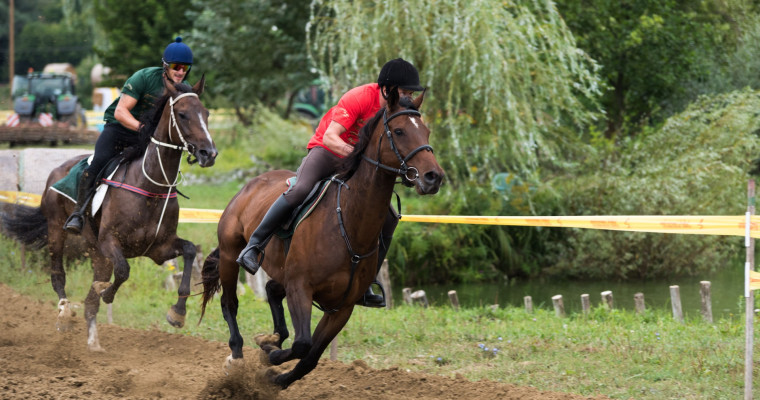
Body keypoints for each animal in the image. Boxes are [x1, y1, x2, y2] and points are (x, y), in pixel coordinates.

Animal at [2, 75, 217, 350]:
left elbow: (189, 251)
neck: (151, 185)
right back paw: (64, 312)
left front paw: (177, 313)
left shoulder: (159, 248)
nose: (209, 153)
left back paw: (94, 343)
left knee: (89, 303)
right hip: (57, 230)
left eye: (206, 113)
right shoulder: (110, 241)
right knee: (58, 275)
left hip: (97, 254)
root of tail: (56, 170)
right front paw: (106, 292)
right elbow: (123, 271)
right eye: (182, 114)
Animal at [202, 90, 442, 388]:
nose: (434, 177)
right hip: (229, 254)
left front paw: (275, 372)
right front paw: (269, 353)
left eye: (427, 131)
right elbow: (303, 344)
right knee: (230, 303)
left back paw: (273, 338)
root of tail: (251, 183)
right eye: (399, 131)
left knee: (271, 290)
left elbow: (310, 356)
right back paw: (236, 355)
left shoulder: (342, 307)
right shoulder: (300, 288)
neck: (347, 222)